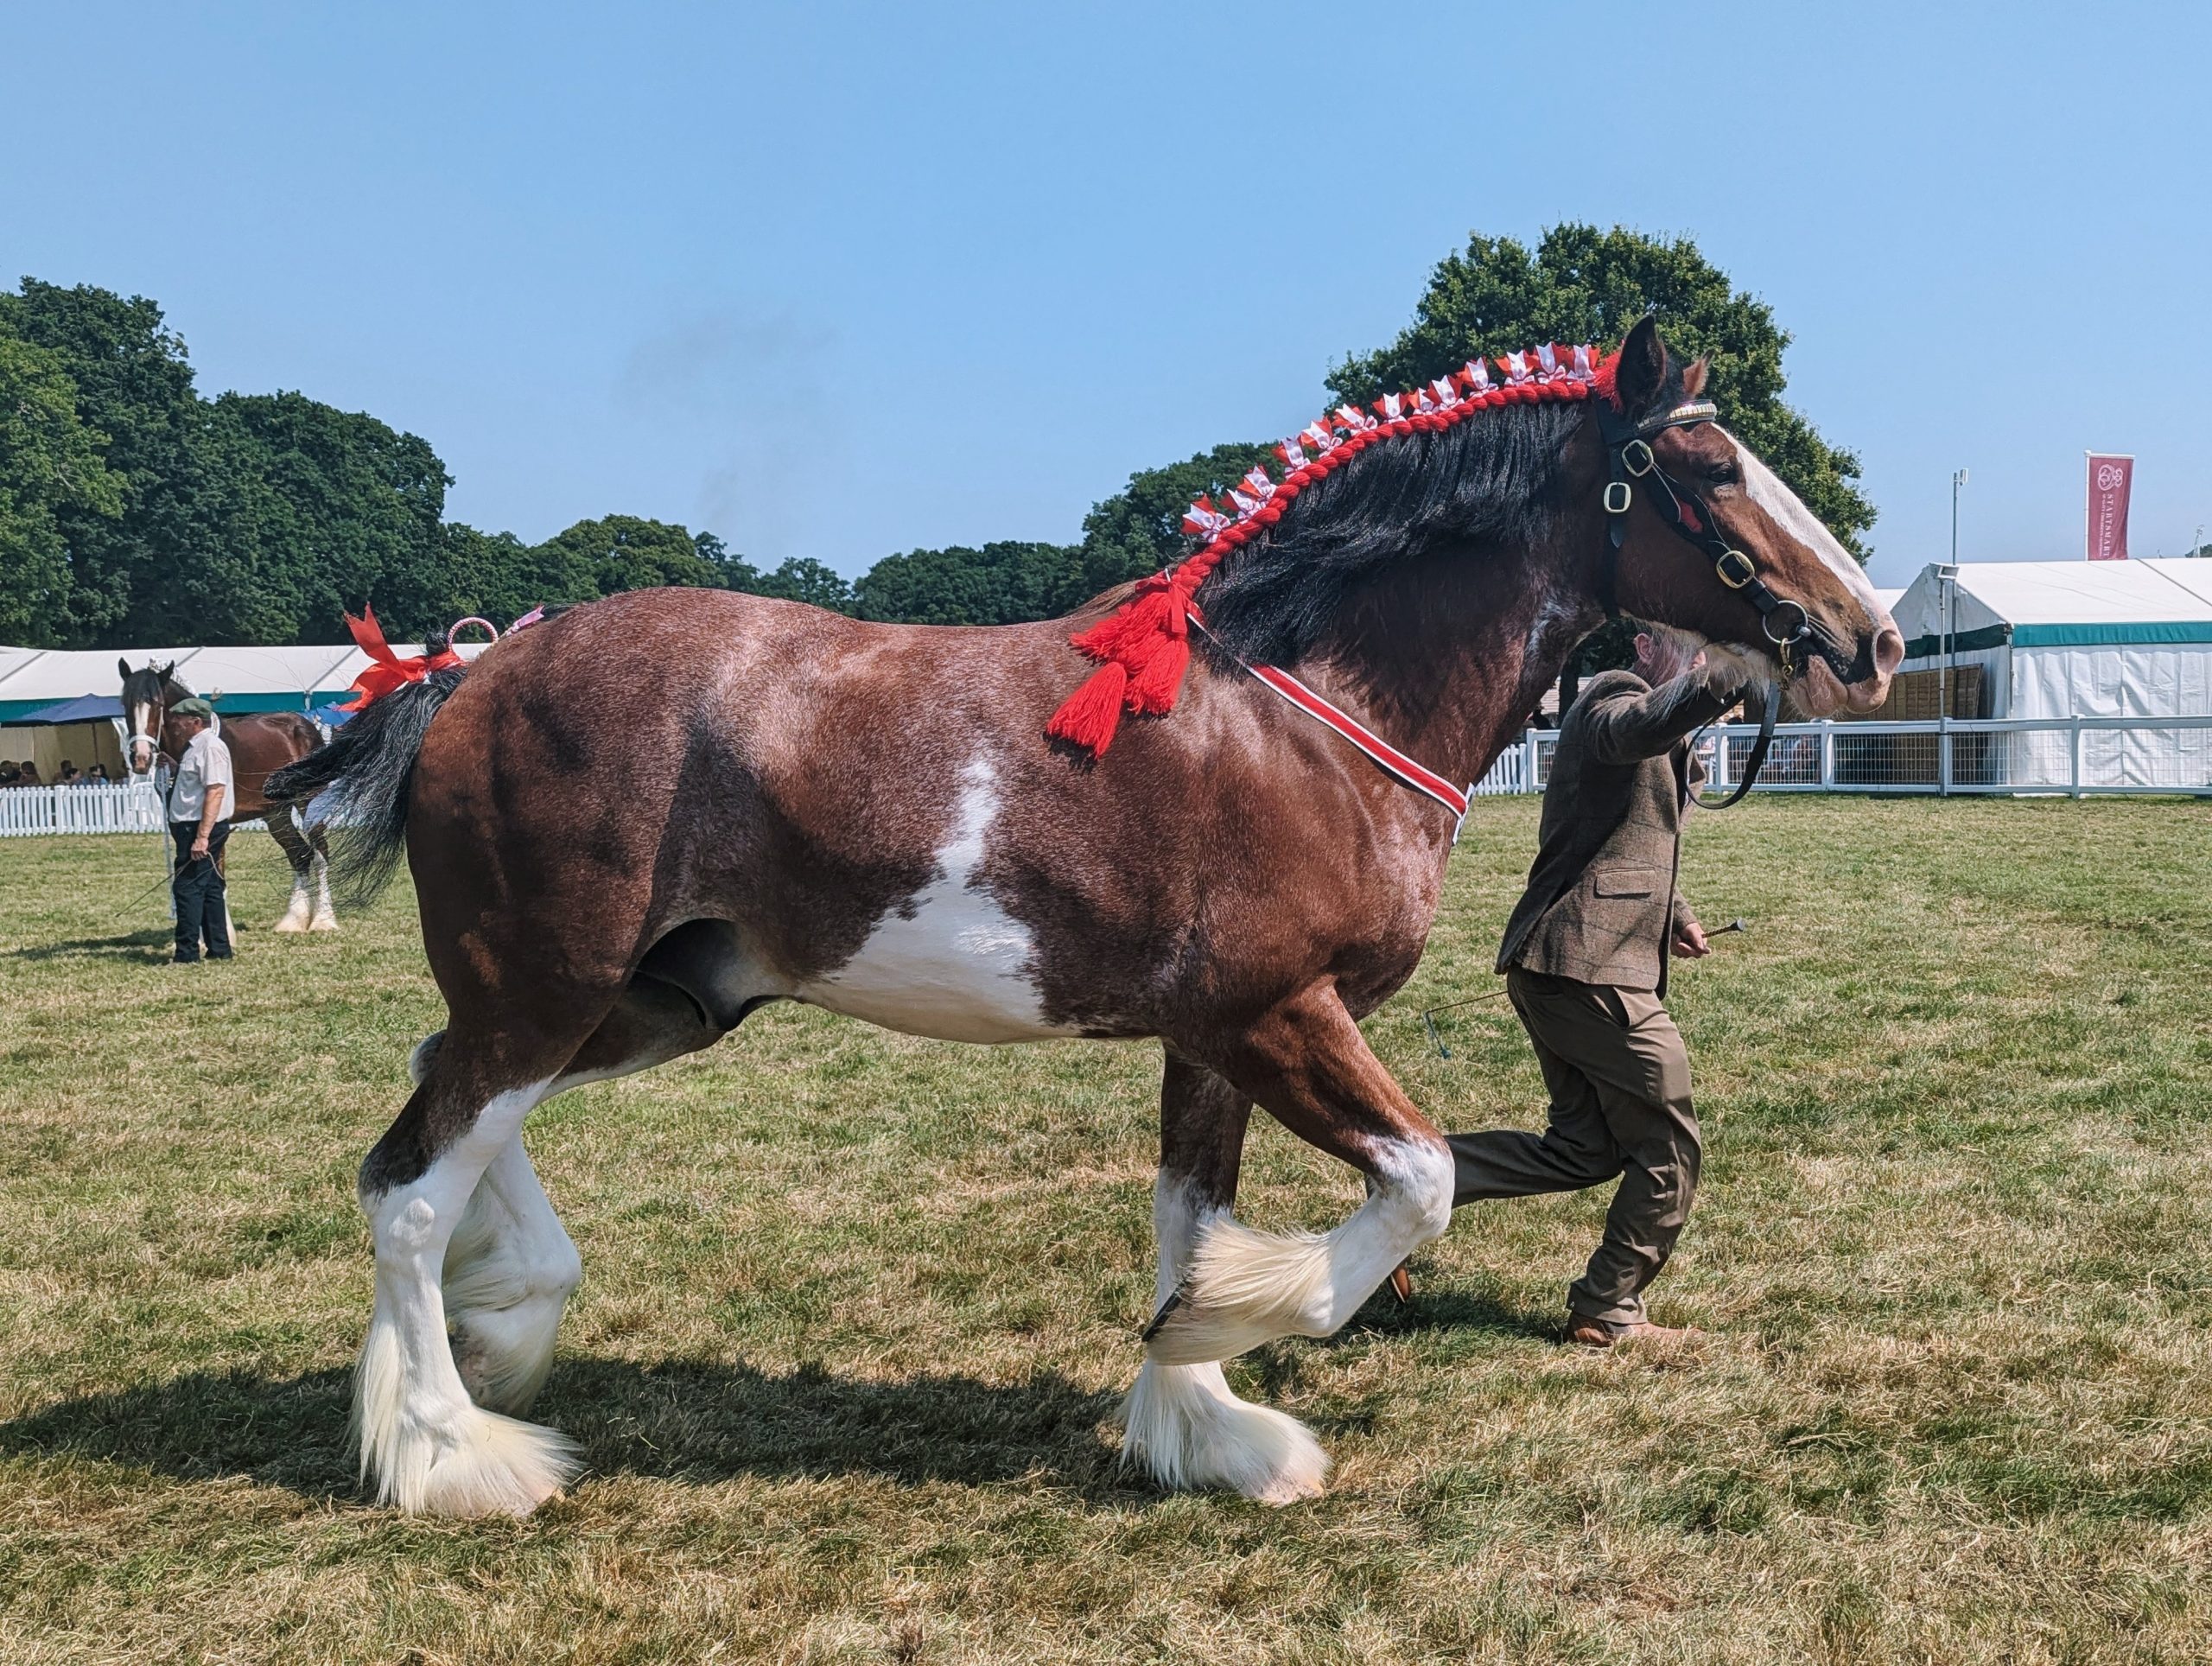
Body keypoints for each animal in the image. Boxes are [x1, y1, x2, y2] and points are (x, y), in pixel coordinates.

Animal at [122, 659, 336, 929]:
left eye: (158, 704)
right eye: (125, 703)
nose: (140, 758)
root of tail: (307, 726)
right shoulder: (180, 823)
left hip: (308, 802)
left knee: (320, 854)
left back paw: (323, 920)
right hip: (276, 813)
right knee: (299, 855)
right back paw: (293, 921)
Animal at [271, 318, 1902, 1513]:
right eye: (1708, 469)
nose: (1874, 638)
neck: (1303, 709)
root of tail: (468, 676)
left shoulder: (1213, 1039)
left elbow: (1195, 1216)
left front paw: (1206, 1424)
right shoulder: (1275, 1013)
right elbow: (1421, 1178)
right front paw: (1231, 1333)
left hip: (651, 999)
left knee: (432, 1103)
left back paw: (509, 1322)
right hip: (550, 987)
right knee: (409, 1190)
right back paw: (452, 1455)